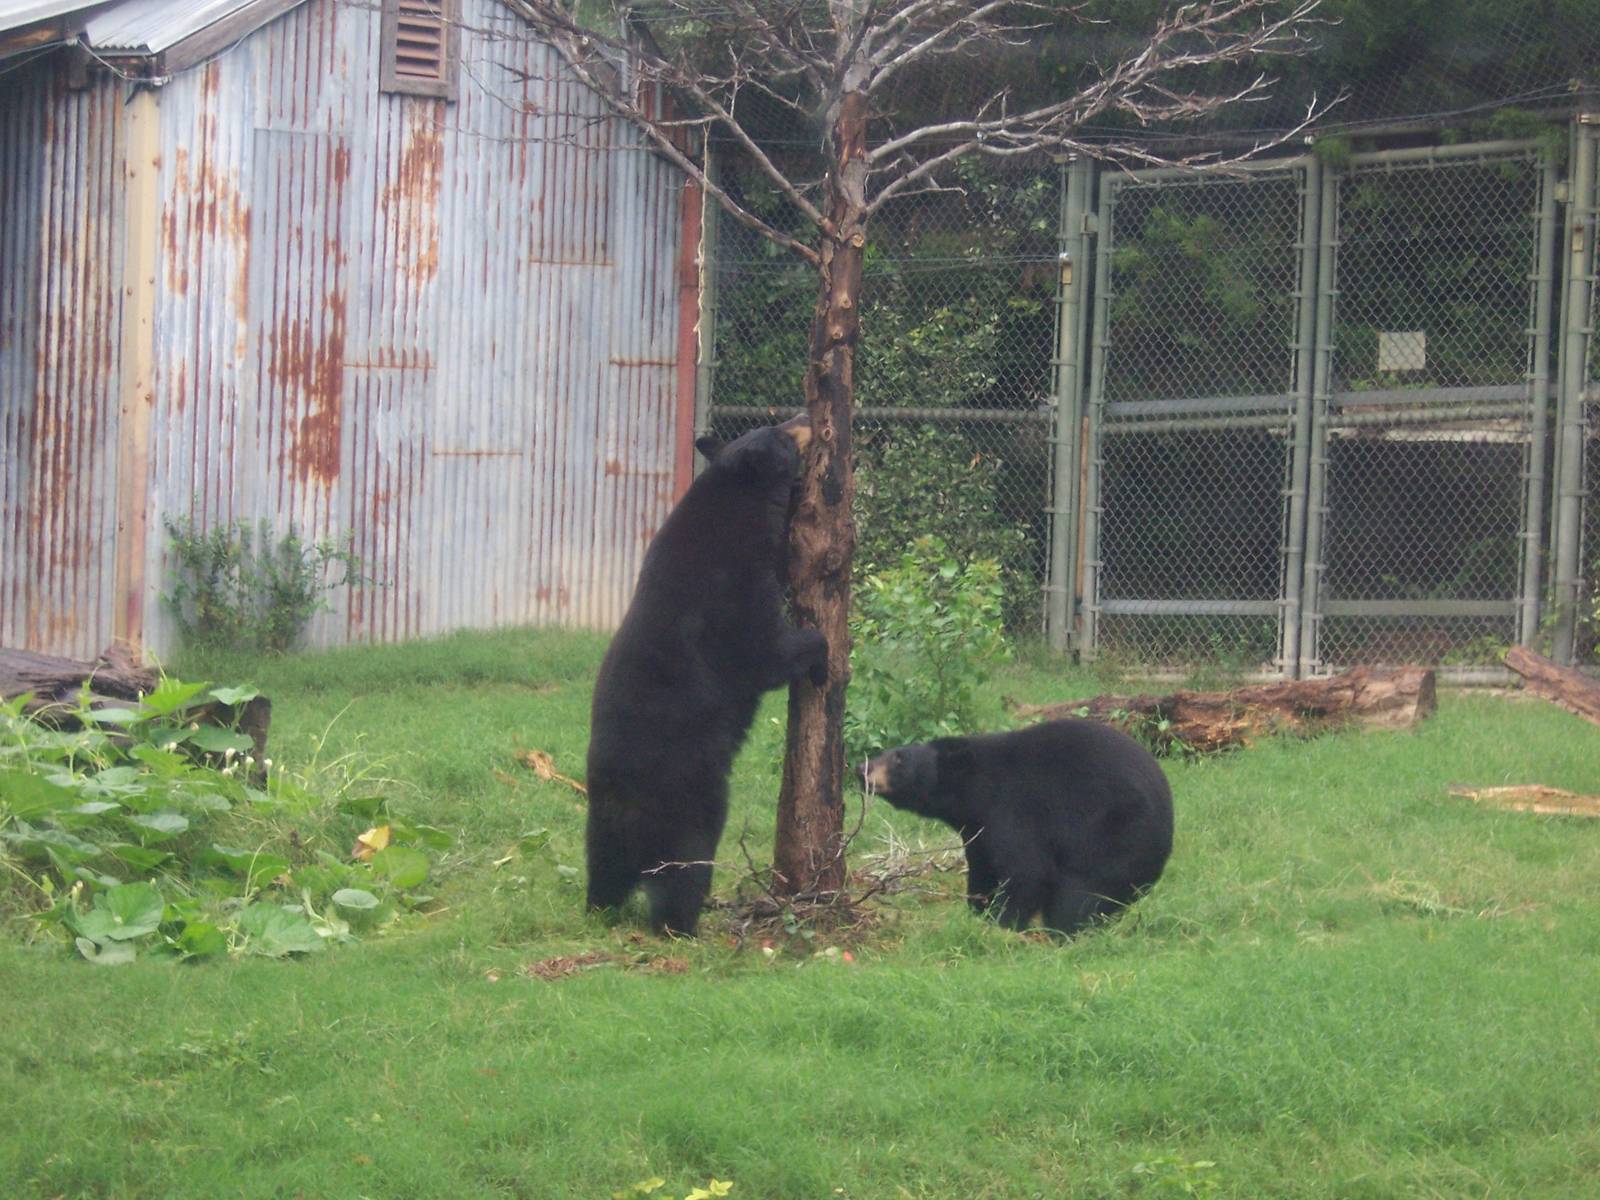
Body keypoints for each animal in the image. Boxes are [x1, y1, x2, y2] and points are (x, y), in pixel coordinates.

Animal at [585, 414, 827, 937]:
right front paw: (822, 655)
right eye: (781, 434)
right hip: (692, 801)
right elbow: (763, 652)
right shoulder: (729, 588)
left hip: (603, 822)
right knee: (685, 870)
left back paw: (600, 906)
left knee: (603, 866)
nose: (803, 417)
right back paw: (683, 926)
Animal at [861, 719, 1173, 936]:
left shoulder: (1014, 808)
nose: (860, 769)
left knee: (1080, 894)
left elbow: (1027, 870)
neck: (976, 789)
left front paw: (1001, 922)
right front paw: (979, 908)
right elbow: (983, 868)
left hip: (1114, 836)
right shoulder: (978, 828)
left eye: (899, 758)